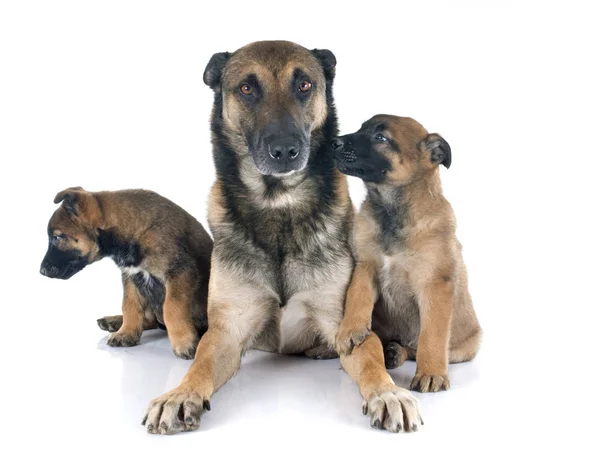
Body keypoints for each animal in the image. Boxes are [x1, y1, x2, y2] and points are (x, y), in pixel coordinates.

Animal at [39, 188, 213, 360]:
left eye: (57, 237)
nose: (42, 272)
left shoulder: (179, 272)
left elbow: (171, 307)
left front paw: (184, 342)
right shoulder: (131, 276)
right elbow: (129, 306)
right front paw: (126, 333)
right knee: (150, 319)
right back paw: (113, 322)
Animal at [142, 41, 420, 434]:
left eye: (304, 85)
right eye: (246, 88)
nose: (286, 150)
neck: (278, 205)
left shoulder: (347, 326)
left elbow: (371, 360)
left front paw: (388, 393)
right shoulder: (227, 331)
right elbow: (201, 363)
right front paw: (180, 395)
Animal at [332, 117, 482, 396]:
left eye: (381, 138)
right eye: (361, 128)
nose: (333, 142)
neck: (392, 212)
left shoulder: (435, 285)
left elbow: (432, 336)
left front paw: (431, 373)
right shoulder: (366, 266)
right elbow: (357, 296)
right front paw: (350, 330)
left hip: (467, 347)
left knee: (418, 346)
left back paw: (400, 353)